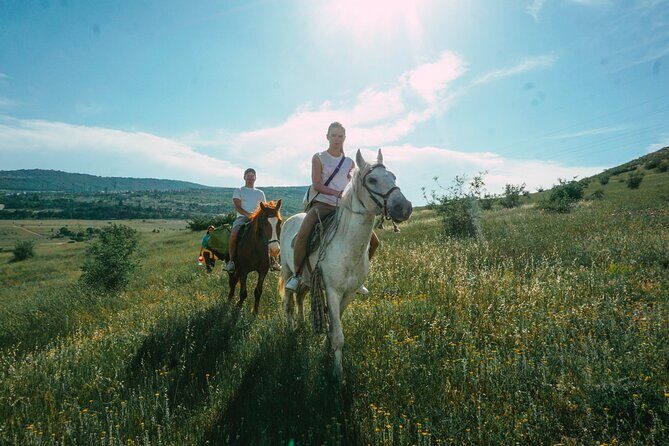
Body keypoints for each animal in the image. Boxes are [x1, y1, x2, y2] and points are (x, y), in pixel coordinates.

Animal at [278, 149, 412, 381]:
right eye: (372, 180)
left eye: (393, 177)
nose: (404, 208)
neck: (346, 245)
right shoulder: (332, 291)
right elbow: (338, 335)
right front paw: (338, 376)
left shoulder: (349, 293)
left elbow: (335, 325)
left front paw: (327, 349)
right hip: (288, 272)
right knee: (288, 302)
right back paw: (290, 330)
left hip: (307, 281)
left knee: (300, 298)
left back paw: (301, 324)